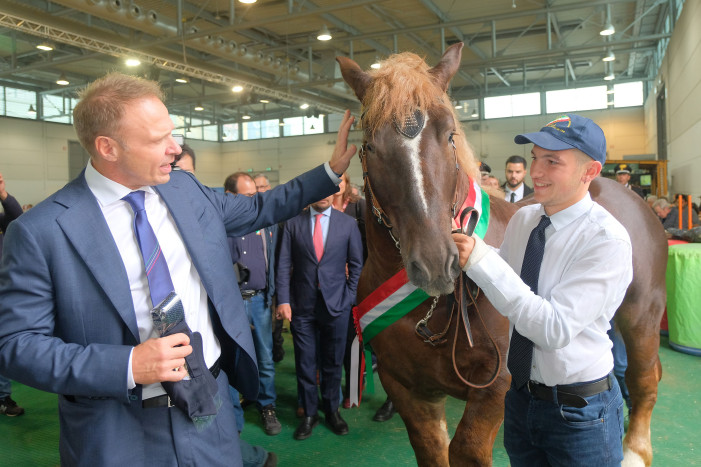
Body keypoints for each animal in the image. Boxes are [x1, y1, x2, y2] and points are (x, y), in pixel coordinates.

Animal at [336, 44, 664, 467]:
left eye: (450, 135)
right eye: (371, 146)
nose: (435, 264)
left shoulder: (499, 384)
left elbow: (466, 449)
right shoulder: (408, 389)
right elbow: (432, 449)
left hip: (642, 315)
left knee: (644, 380)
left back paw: (635, 451)